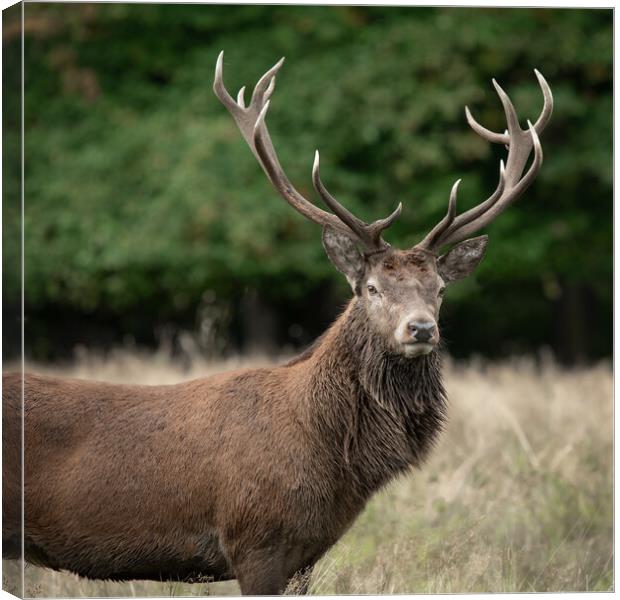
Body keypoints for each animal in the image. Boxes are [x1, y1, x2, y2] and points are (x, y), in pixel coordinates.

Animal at [1, 51, 552, 596]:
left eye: (439, 290)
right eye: (372, 288)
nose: (420, 330)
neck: (329, 460)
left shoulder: (305, 557)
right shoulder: (256, 540)